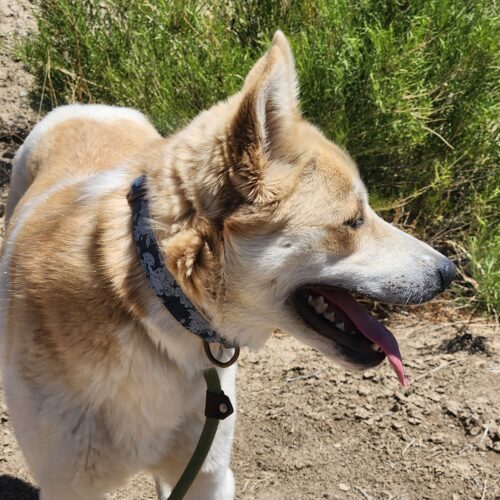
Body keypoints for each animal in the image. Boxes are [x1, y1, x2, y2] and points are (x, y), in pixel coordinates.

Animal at [0, 32, 456, 500]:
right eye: (353, 220)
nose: (449, 272)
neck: (153, 317)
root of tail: (89, 107)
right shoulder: (68, 485)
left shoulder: (210, 473)